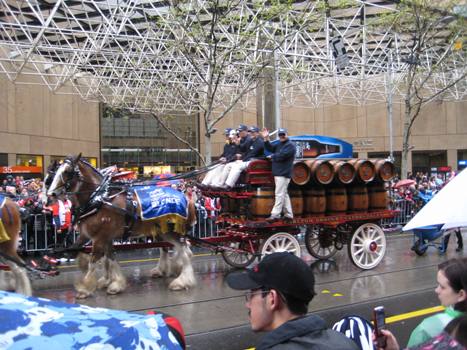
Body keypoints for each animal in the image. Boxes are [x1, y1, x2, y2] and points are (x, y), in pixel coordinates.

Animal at [48, 154, 198, 300]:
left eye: (67, 171)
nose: (50, 194)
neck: (99, 199)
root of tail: (185, 197)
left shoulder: (99, 238)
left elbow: (94, 261)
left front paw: (84, 289)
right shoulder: (95, 236)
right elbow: (109, 257)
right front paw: (114, 283)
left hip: (172, 231)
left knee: (185, 252)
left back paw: (181, 281)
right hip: (163, 231)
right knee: (173, 249)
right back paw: (169, 271)